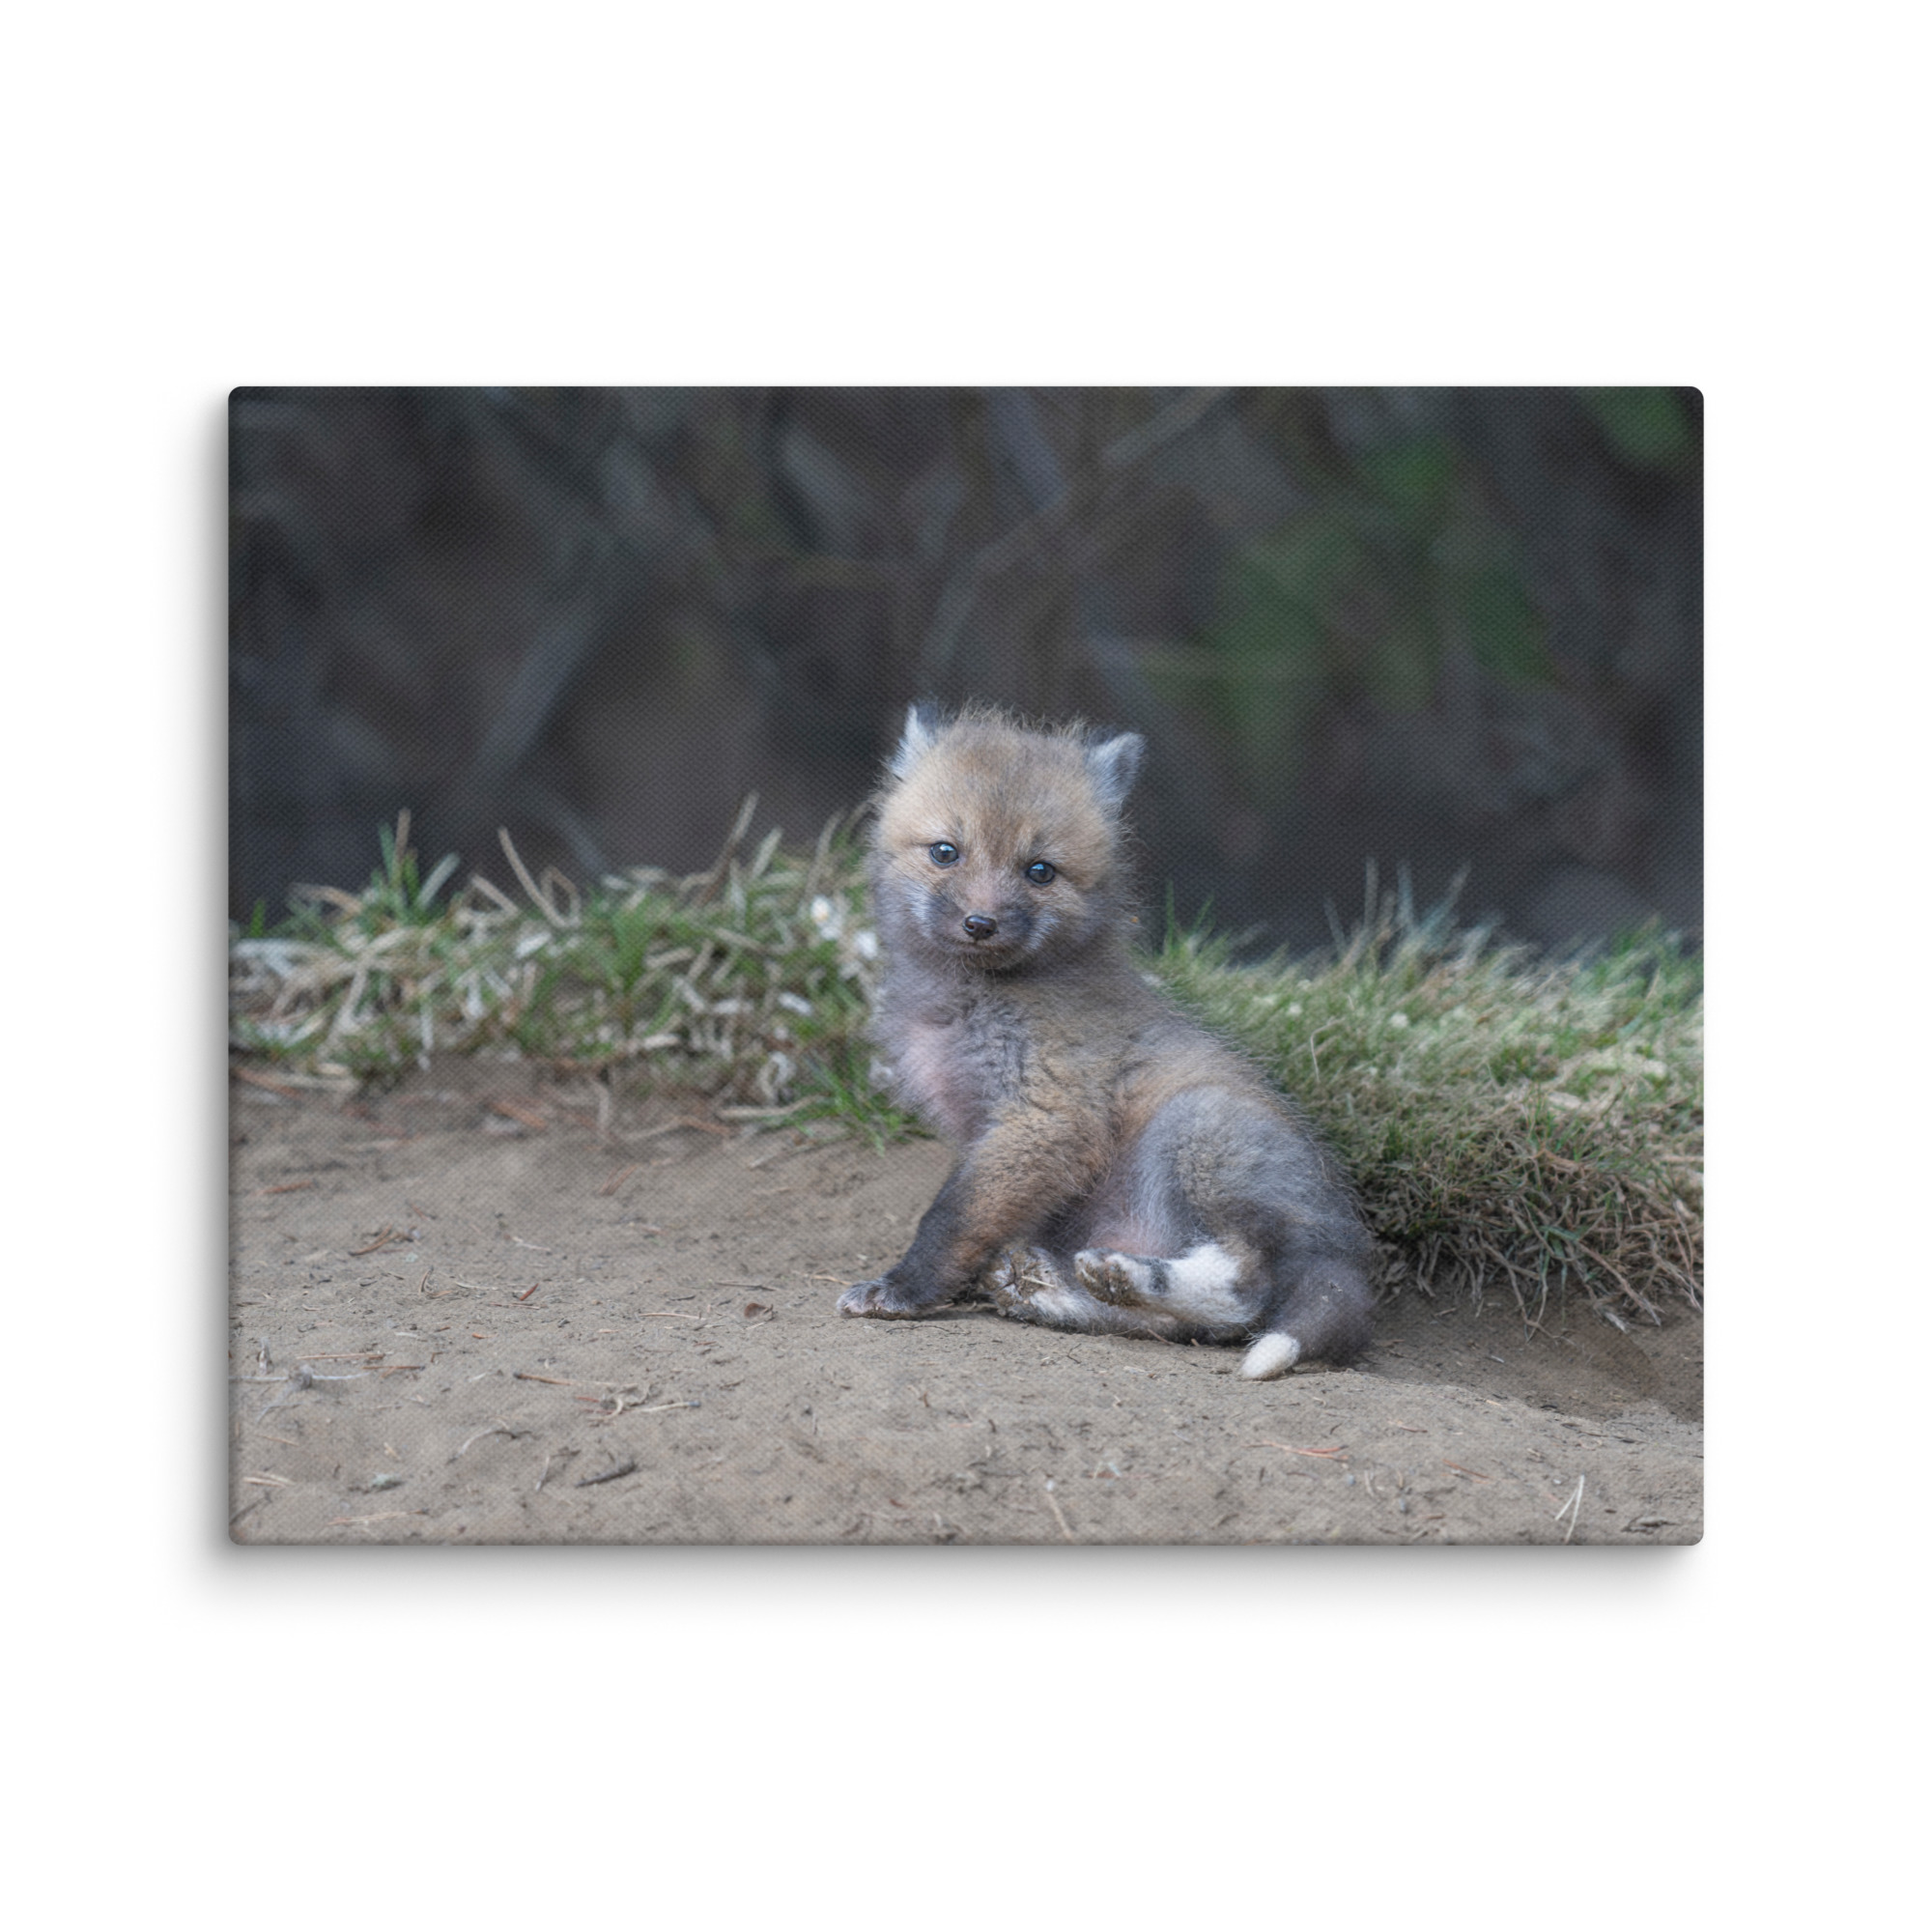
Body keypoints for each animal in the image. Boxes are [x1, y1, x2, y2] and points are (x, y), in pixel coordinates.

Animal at [836, 704, 1375, 1379]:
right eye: (945, 852)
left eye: (1040, 871)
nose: (980, 924)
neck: (971, 1001)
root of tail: (1346, 1245)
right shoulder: (990, 1131)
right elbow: (976, 1216)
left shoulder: (1047, 1116)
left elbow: (951, 1218)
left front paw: (904, 1289)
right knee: (1184, 1326)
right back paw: (1056, 1290)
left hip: (1194, 1128)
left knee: (1245, 1291)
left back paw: (1126, 1277)